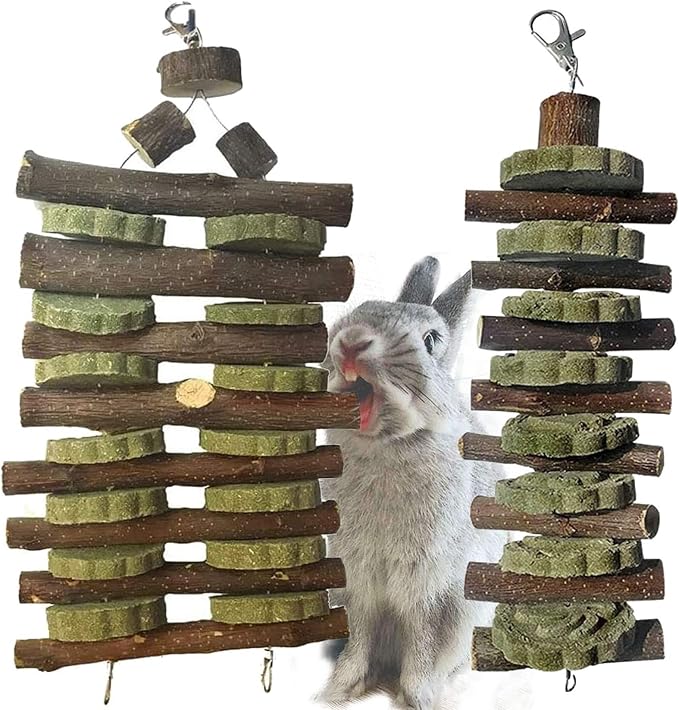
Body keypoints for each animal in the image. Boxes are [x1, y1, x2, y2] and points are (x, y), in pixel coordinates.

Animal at [318, 257, 506, 710]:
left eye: (431, 339)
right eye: (357, 310)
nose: (352, 342)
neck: (387, 447)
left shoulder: (430, 585)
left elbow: (422, 639)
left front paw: (417, 697)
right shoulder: (358, 580)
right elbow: (359, 637)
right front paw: (336, 692)